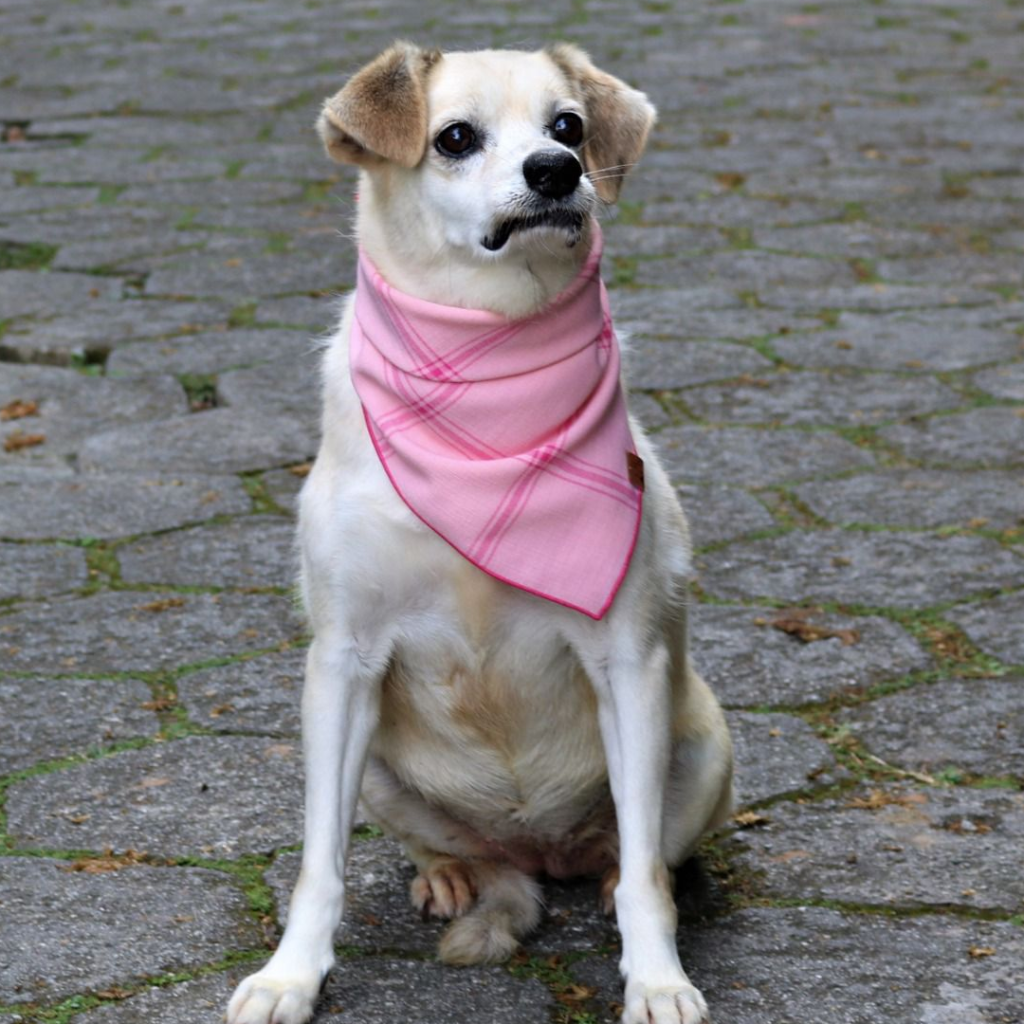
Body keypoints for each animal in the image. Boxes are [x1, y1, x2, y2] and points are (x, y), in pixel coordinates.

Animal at [228, 39, 733, 1024]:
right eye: (455, 138)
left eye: (568, 125)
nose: (558, 170)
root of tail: (535, 851)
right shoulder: (341, 664)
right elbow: (319, 866)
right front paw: (291, 975)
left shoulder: (628, 662)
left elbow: (647, 878)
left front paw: (657, 978)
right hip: (377, 764)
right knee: (450, 848)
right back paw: (453, 874)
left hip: (701, 742)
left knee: (639, 858)